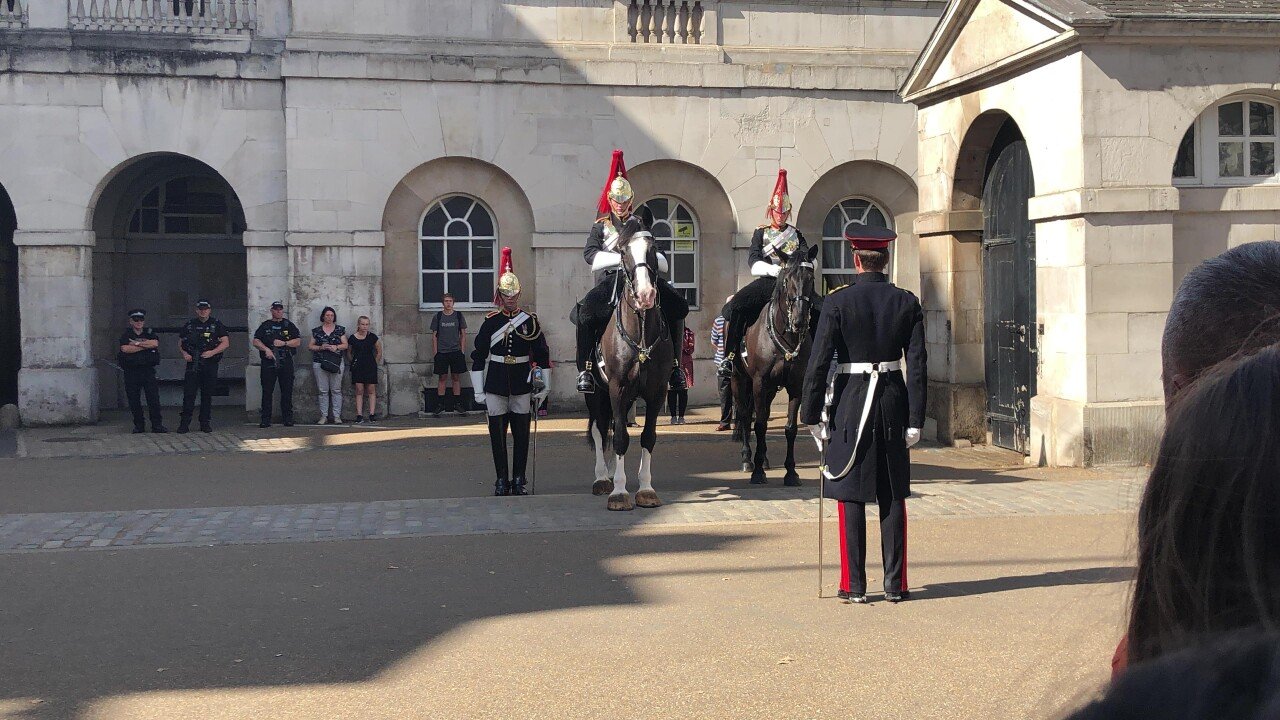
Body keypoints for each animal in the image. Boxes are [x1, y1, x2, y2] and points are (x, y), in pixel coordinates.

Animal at [586, 215, 675, 507]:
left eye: (653, 248)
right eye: (622, 252)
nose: (646, 295)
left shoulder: (657, 392)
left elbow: (647, 437)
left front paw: (645, 488)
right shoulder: (617, 387)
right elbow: (619, 439)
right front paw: (619, 491)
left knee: (616, 425)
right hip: (597, 393)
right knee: (600, 430)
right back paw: (602, 478)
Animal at [732, 243, 819, 484]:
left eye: (810, 278)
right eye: (787, 279)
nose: (799, 321)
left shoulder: (795, 385)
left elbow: (790, 428)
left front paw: (791, 472)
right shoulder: (760, 382)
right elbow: (760, 424)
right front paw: (757, 472)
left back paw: (764, 459)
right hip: (739, 379)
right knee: (745, 414)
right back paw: (747, 459)